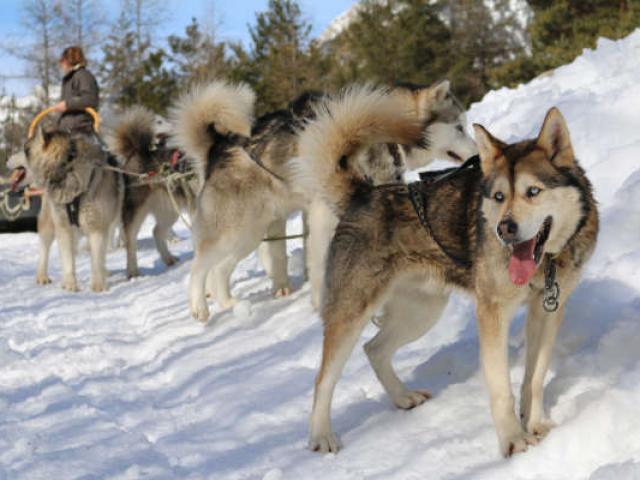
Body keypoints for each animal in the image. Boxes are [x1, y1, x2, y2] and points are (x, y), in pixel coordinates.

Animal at [22, 128, 124, 292]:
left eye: (26, 149)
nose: (10, 164)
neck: (67, 165)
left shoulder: (97, 227)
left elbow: (97, 259)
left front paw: (98, 284)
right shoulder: (64, 227)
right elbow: (68, 259)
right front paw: (70, 284)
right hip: (49, 224)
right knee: (44, 248)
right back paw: (42, 276)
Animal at [107, 106, 195, 276]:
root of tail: (136, 151)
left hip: (169, 209)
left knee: (157, 231)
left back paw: (168, 258)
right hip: (136, 211)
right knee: (130, 239)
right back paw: (133, 272)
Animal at [302, 109, 596, 458]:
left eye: (533, 191)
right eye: (498, 196)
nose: (504, 229)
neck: (545, 264)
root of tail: (362, 195)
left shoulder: (547, 310)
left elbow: (534, 378)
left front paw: (535, 423)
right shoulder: (492, 315)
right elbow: (501, 388)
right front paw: (513, 441)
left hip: (422, 313)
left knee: (374, 349)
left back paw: (403, 397)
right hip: (352, 313)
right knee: (324, 379)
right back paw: (321, 436)